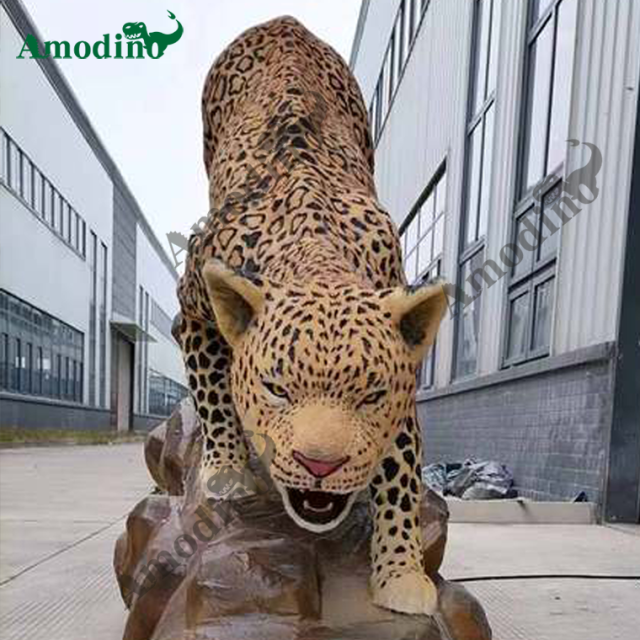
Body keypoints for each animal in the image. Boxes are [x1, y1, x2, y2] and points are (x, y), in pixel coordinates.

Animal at [175, 16, 448, 616]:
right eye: (277, 389)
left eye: (370, 396)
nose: (320, 465)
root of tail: (285, 22)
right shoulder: (193, 315)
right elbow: (212, 392)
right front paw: (226, 470)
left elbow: (402, 479)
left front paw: (401, 574)